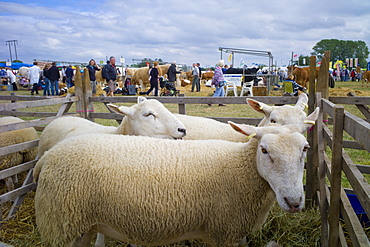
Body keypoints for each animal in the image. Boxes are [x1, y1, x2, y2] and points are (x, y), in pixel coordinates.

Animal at [33, 108, 320, 247]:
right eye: (264, 150)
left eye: (305, 149)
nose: (294, 202)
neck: (239, 166)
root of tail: (48, 157)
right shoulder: (223, 232)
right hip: (59, 227)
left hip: (80, 226)